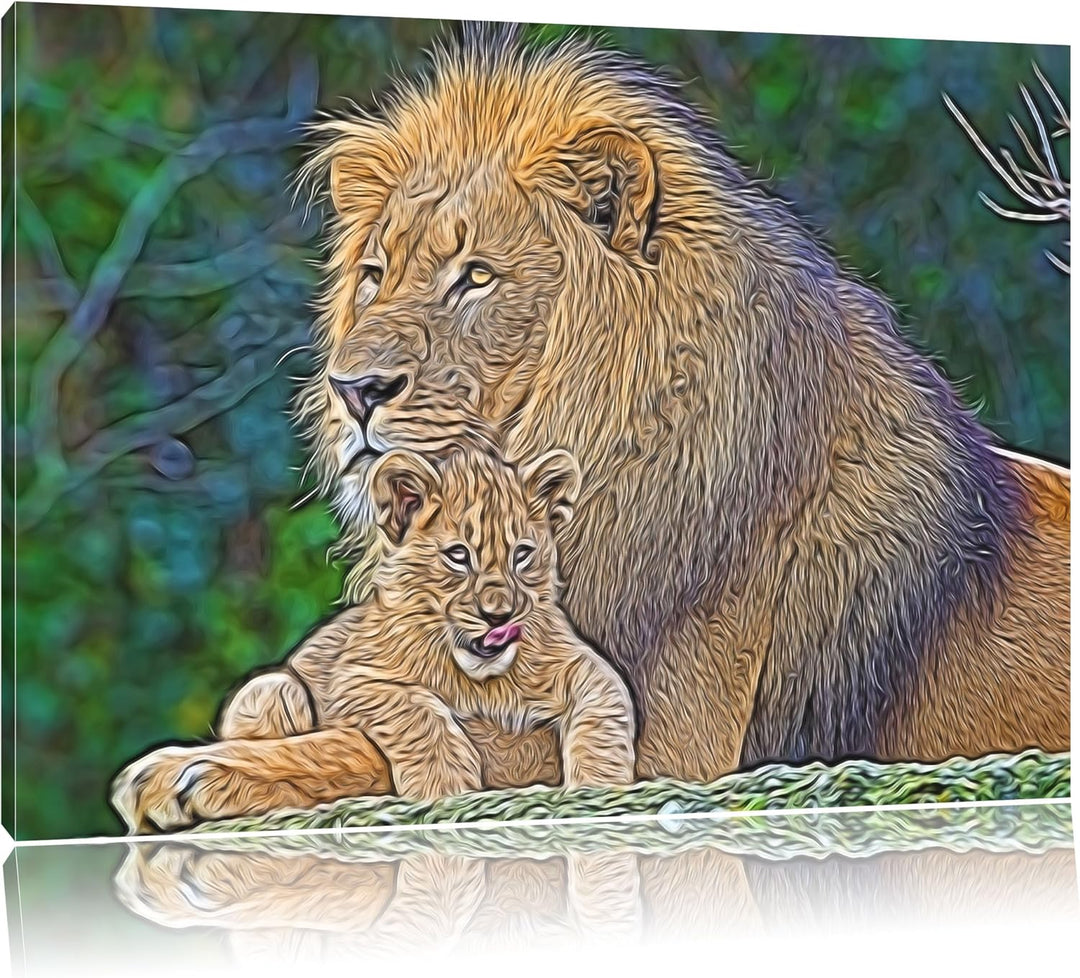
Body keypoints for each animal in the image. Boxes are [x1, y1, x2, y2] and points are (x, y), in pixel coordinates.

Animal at [110, 445, 635, 832]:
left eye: (522, 554)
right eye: (458, 556)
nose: (498, 615)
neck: (485, 679)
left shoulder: (586, 666)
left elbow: (605, 711)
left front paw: (600, 788)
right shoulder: (356, 679)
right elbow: (419, 711)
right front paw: (446, 786)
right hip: (271, 689)